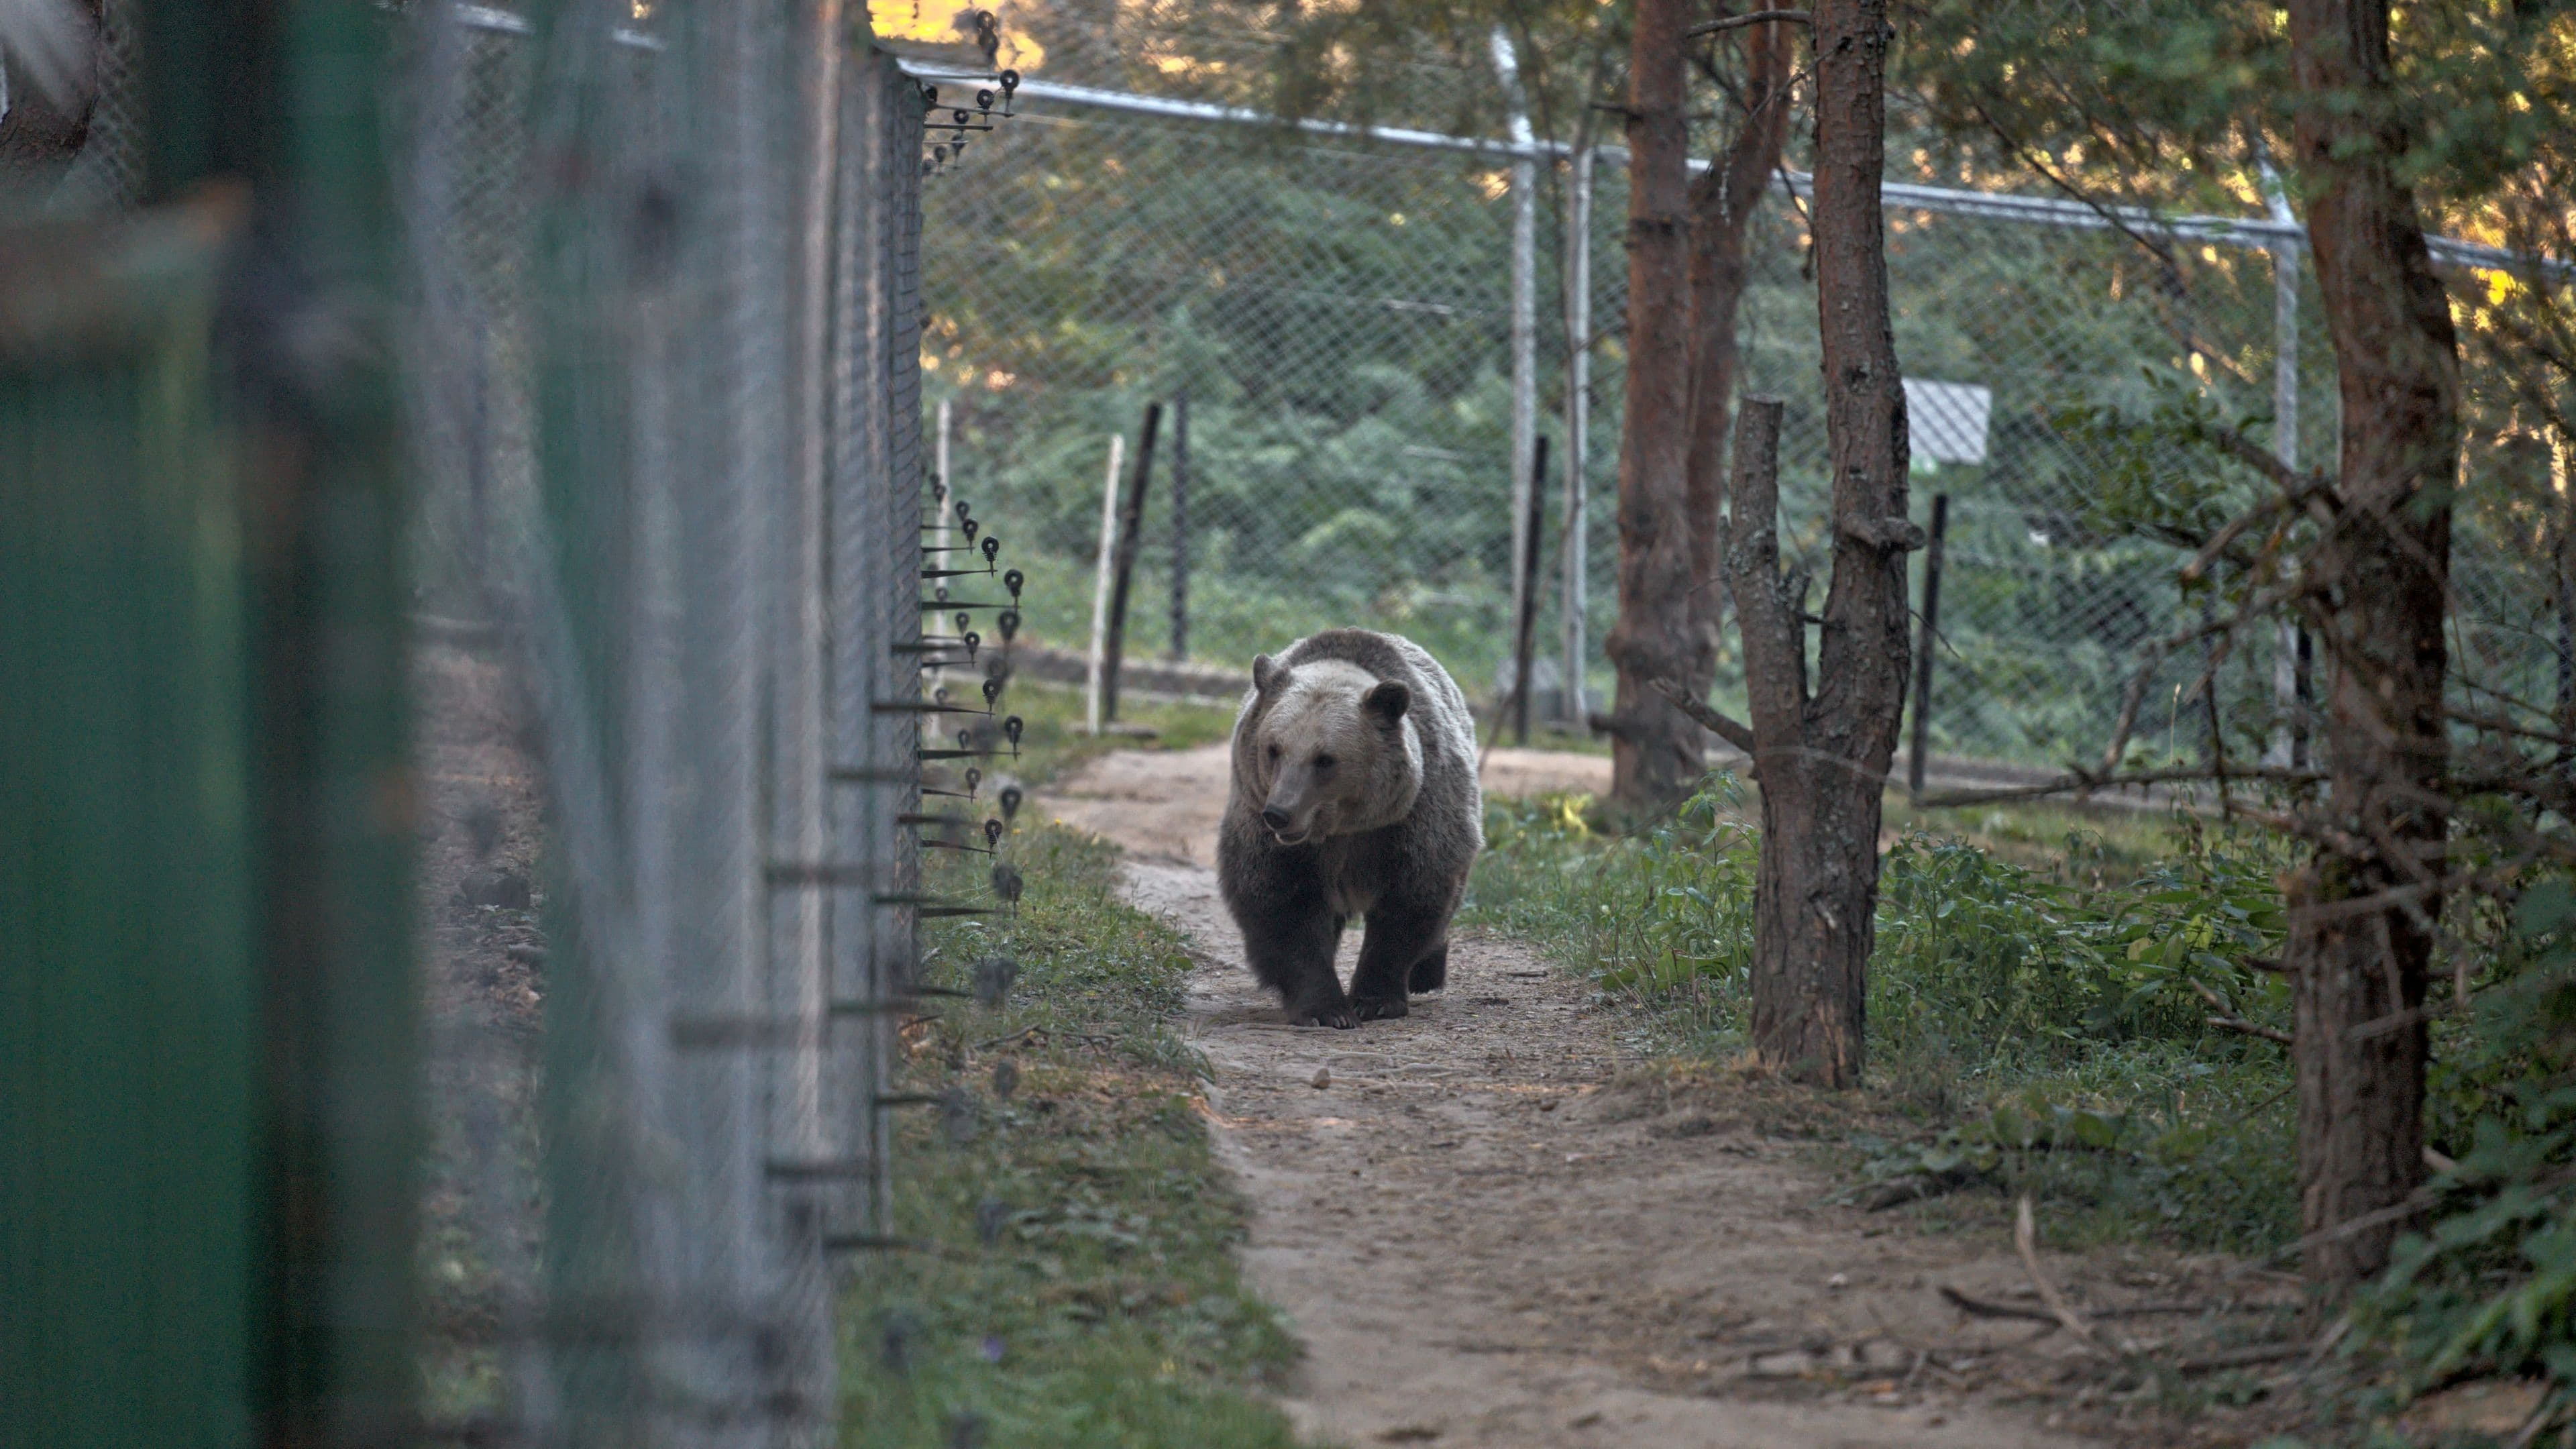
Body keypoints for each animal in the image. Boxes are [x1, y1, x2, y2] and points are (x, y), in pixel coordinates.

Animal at [1216, 628, 1484, 1028]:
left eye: (1325, 759)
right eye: (1273, 749)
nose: (1280, 814)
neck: (1341, 828)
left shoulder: (1410, 819)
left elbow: (1409, 900)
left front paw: (1374, 1000)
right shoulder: (1264, 825)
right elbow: (1282, 903)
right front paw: (1325, 1008)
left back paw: (1427, 973)